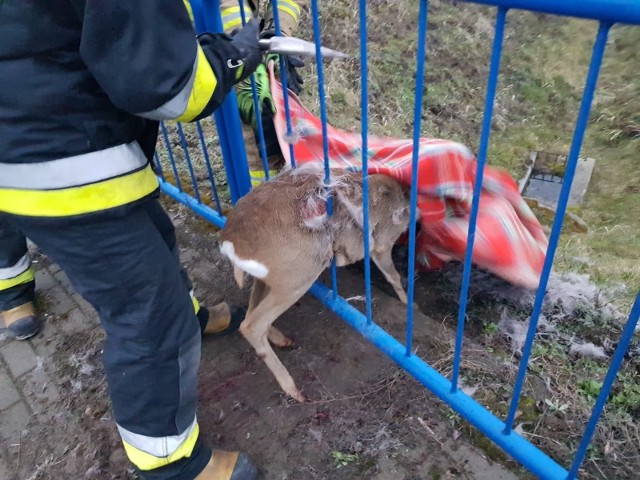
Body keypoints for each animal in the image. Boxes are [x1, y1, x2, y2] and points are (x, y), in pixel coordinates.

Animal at [220, 165, 410, 402]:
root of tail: (230, 243)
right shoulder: (382, 245)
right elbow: (394, 276)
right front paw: (409, 304)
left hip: (270, 279)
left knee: (251, 311)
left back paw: (283, 340)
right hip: (298, 277)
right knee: (251, 325)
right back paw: (294, 389)